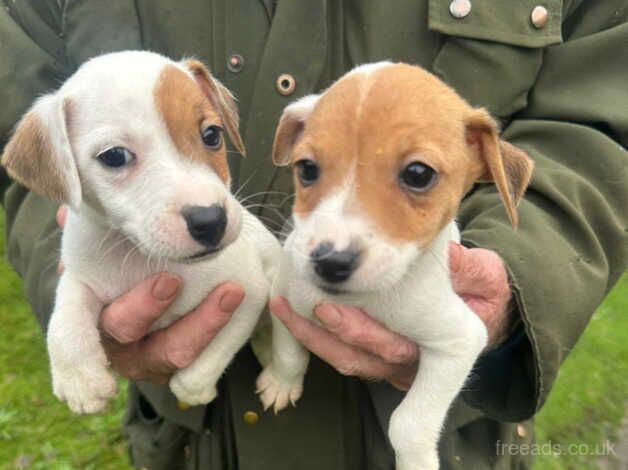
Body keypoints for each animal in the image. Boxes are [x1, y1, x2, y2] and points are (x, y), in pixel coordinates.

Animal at [0, 49, 280, 414]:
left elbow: (213, 357)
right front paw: (79, 379)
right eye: (115, 156)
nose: (210, 220)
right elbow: (65, 313)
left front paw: (193, 390)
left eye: (212, 135)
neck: (139, 256)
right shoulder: (83, 273)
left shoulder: (249, 293)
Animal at [258, 62, 532, 470]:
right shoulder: (284, 295)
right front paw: (281, 382)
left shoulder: (459, 341)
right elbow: (288, 351)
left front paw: (416, 461)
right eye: (306, 168)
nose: (330, 261)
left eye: (418, 174)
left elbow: (409, 422)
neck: (362, 300)